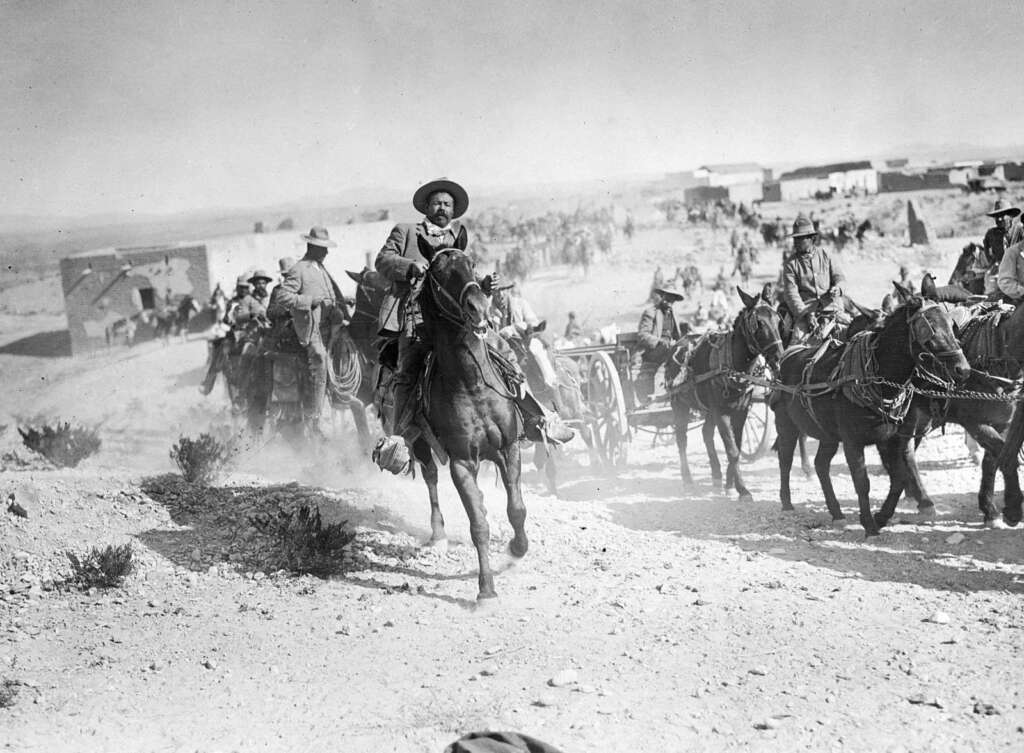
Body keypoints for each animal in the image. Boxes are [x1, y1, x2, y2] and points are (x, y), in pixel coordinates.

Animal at [671, 284, 782, 504]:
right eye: (758, 323)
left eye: (778, 319)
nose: (778, 358)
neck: (731, 363)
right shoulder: (721, 413)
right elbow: (732, 450)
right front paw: (743, 489)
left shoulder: (741, 411)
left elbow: (736, 446)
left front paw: (731, 484)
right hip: (680, 406)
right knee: (681, 440)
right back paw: (687, 480)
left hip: (708, 410)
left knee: (706, 433)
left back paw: (716, 475)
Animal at [774, 293, 966, 536]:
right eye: (929, 329)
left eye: (951, 326)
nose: (963, 368)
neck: (880, 379)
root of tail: (788, 355)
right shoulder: (852, 442)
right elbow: (862, 482)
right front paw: (869, 523)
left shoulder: (891, 440)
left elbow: (899, 478)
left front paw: (882, 517)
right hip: (786, 424)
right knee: (785, 459)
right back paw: (787, 502)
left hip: (828, 435)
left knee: (821, 464)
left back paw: (836, 512)